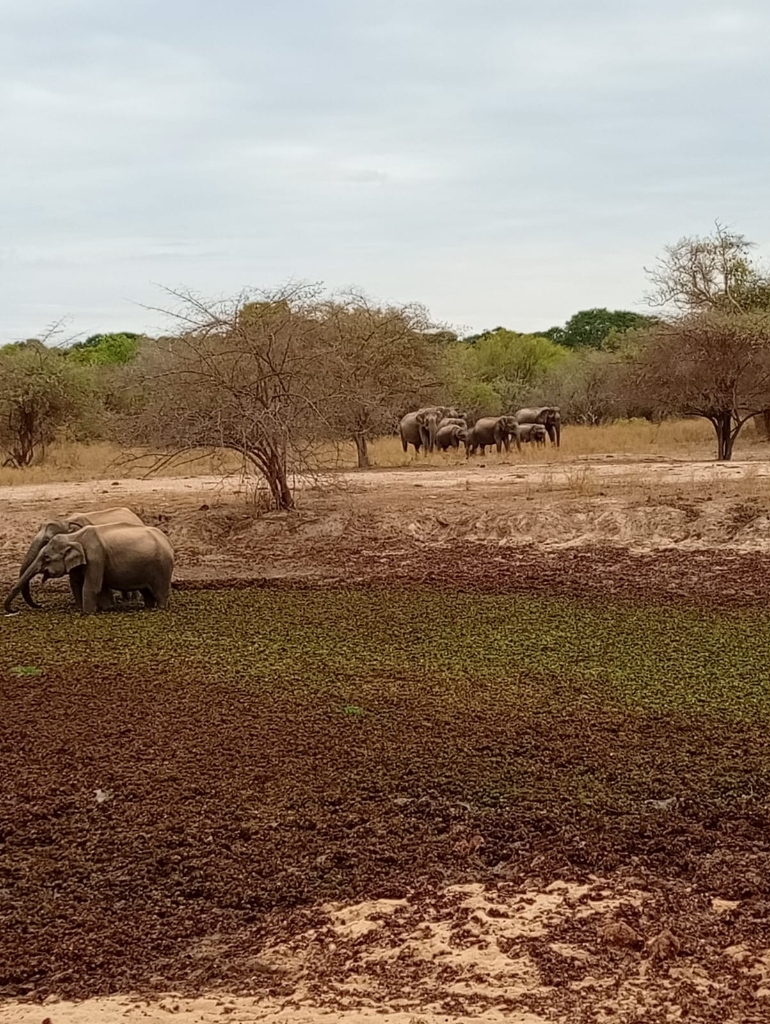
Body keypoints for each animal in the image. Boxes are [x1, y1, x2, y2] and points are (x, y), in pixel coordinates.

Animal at [4, 523, 174, 616]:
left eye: (46, 558)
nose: (40, 605)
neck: (74, 536)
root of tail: (168, 540)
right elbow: (80, 585)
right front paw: (103, 609)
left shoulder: (96, 557)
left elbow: (91, 587)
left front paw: (87, 613)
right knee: (147, 592)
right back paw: (148, 607)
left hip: (162, 566)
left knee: (160, 592)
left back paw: (160, 609)